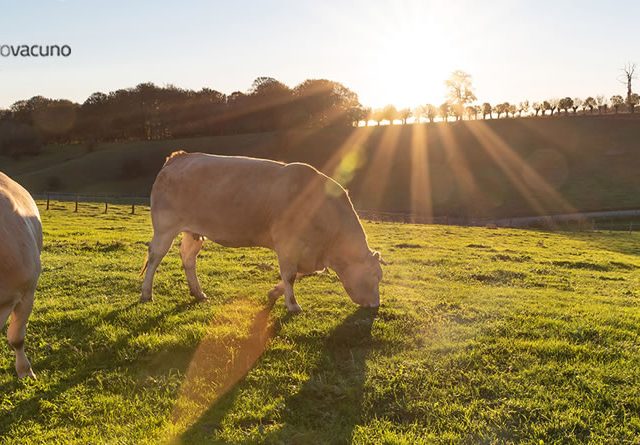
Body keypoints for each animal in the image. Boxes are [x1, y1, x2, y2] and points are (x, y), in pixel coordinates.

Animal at [140, 151, 382, 310]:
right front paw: (293, 305)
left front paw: (274, 293)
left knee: (188, 257)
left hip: (193, 231)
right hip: (164, 228)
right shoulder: (287, 243)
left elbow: (298, 274)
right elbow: (290, 275)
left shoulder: (305, 252)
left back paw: (198, 292)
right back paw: (146, 293)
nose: (375, 305)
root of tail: (180, 157)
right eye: (374, 275)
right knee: (154, 257)